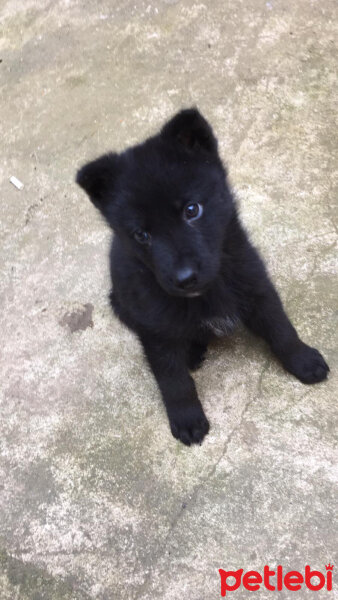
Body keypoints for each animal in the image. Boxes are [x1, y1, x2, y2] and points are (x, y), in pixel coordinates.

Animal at [75, 109, 328, 446]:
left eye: (192, 210)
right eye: (141, 234)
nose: (184, 278)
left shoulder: (256, 285)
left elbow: (282, 329)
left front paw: (303, 360)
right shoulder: (155, 329)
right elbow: (173, 379)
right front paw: (187, 418)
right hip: (122, 304)